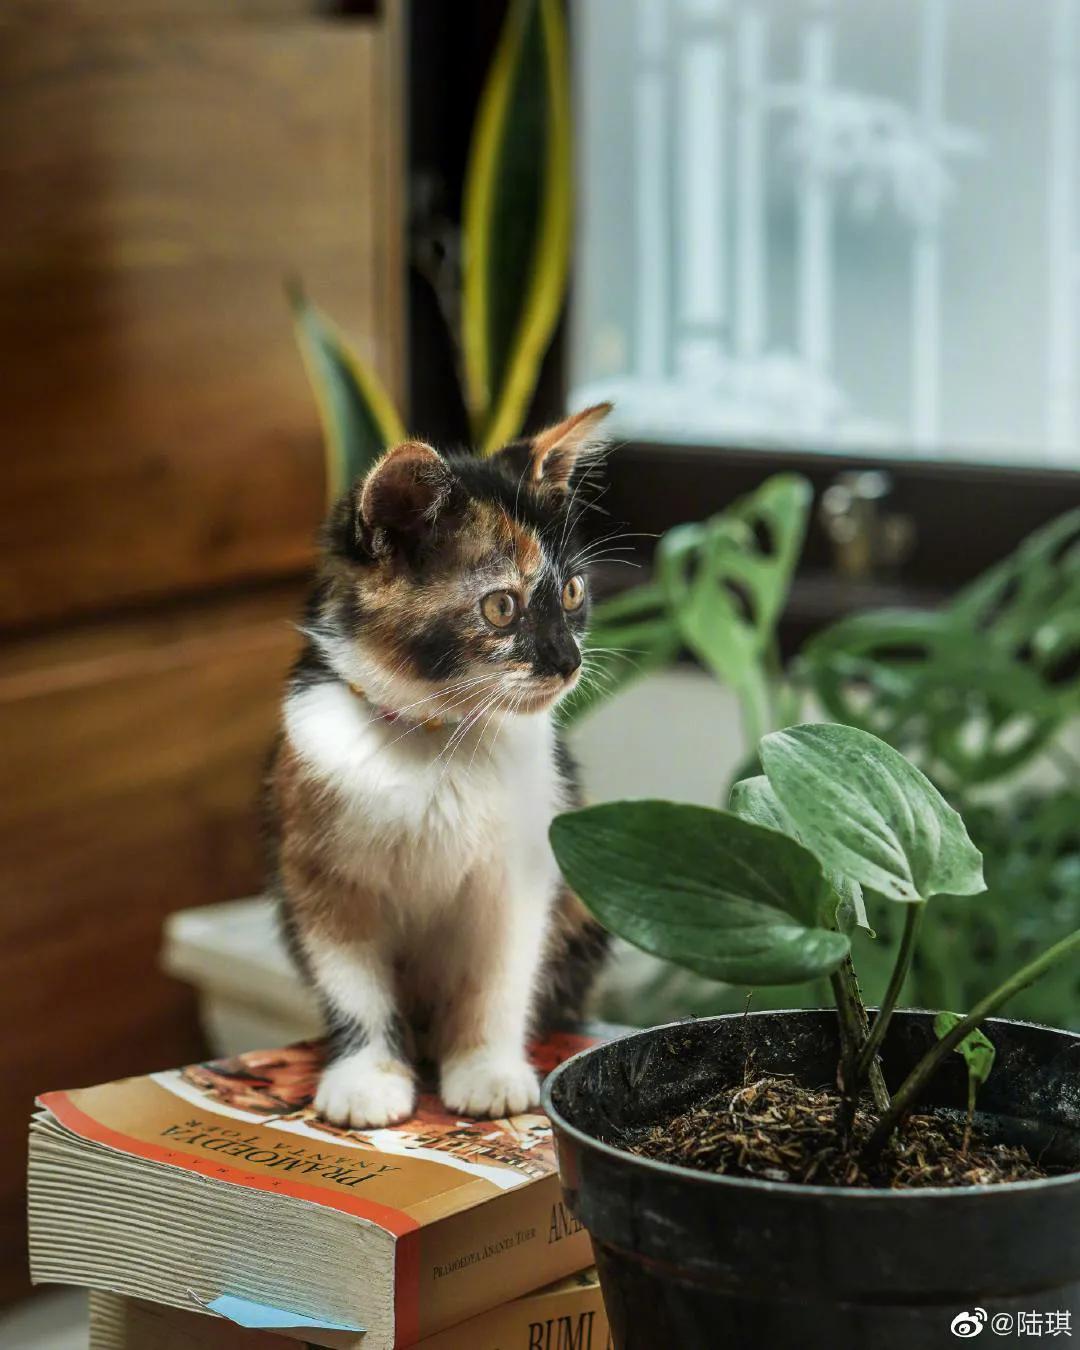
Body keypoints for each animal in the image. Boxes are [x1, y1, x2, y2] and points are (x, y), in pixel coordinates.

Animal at [264, 402, 612, 1128]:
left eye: (572, 592)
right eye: (502, 606)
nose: (568, 661)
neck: (436, 737)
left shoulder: (520, 870)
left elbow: (500, 975)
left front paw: (487, 1070)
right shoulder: (317, 871)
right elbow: (351, 981)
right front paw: (366, 1078)